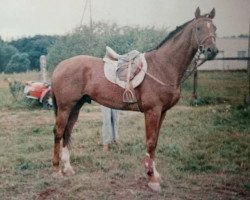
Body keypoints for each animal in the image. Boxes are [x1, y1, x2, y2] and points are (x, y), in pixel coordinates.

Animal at [50, 7, 217, 192]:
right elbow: (150, 142)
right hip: (65, 107)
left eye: (214, 28)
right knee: (58, 132)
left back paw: (68, 169)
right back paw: (56, 171)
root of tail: (60, 66)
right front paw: (152, 179)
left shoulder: (162, 112)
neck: (162, 66)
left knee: (67, 132)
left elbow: (155, 142)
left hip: (76, 107)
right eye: (199, 28)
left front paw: (155, 174)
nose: (212, 51)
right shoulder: (152, 111)